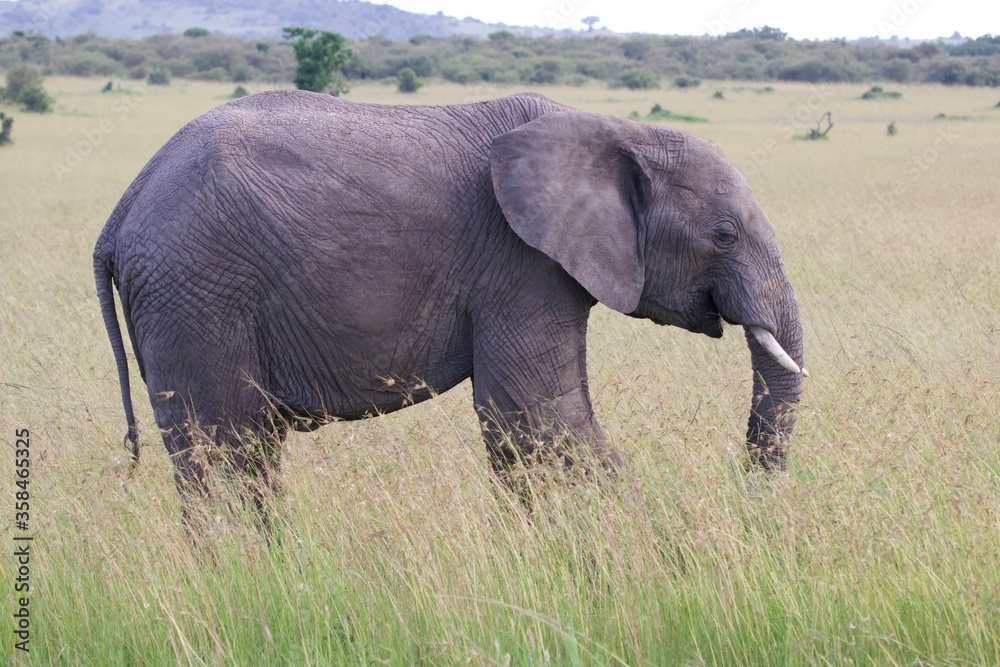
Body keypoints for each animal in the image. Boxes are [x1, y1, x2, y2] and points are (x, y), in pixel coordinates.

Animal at [94, 91, 806, 526]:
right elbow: (539, 414)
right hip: (196, 288)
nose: (746, 487)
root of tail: (122, 209)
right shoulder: (519, 263)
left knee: (242, 454)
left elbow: (532, 421)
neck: (618, 131)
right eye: (724, 235)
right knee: (225, 449)